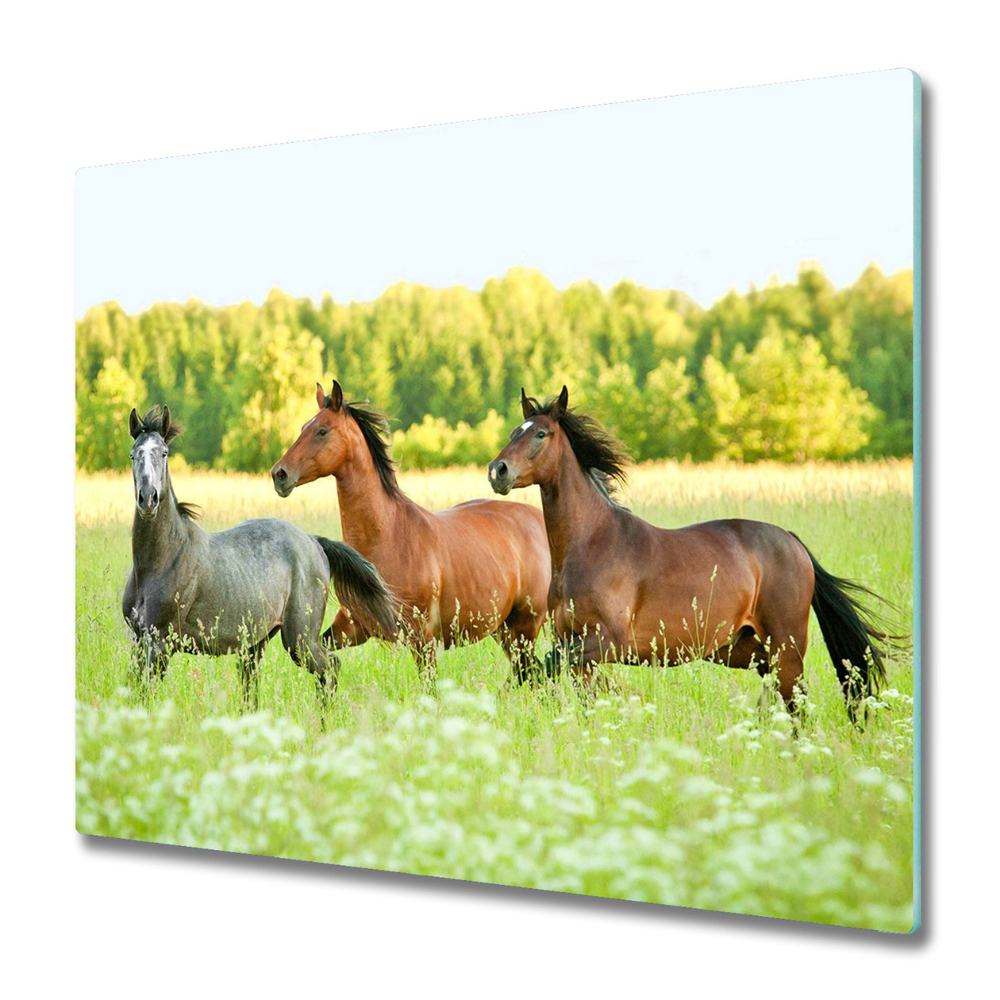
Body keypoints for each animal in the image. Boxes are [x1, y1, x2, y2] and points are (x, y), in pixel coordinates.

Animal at [122, 405, 397, 700]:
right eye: (133, 454)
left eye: (164, 452)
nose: (148, 499)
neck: (160, 562)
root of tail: (313, 541)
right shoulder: (139, 640)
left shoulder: (159, 642)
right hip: (257, 643)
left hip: (300, 639)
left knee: (331, 666)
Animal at [270, 381, 551, 682]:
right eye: (303, 427)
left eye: (322, 431)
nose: (279, 474)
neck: (389, 536)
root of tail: (538, 520)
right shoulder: (352, 627)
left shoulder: (422, 637)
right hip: (505, 629)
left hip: (524, 626)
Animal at [487, 386, 897, 721]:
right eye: (513, 433)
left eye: (541, 434)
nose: (498, 471)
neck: (591, 545)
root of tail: (794, 543)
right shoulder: (572, 643)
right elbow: (567, 684)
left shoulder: (608, 642)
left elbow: (542, 668)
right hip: (744, 649)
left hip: (786, 646)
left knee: (796, 702)